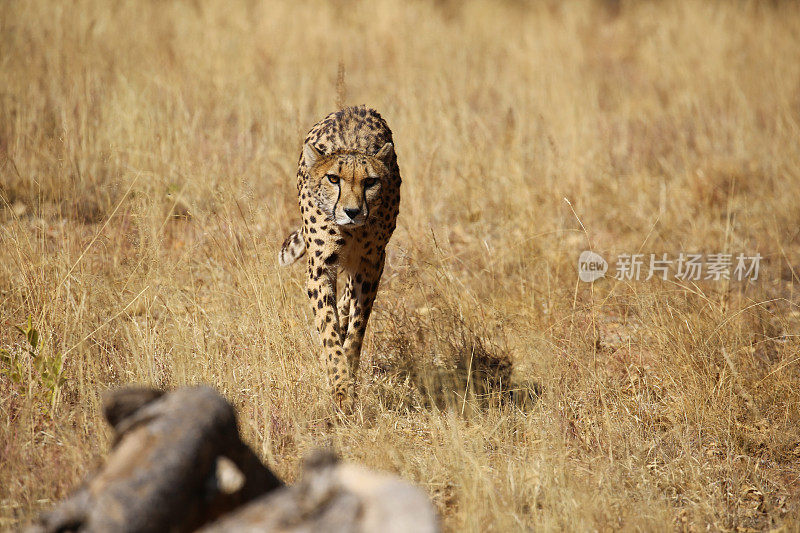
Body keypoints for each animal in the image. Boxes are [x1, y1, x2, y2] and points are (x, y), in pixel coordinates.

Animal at [282, 106, 404, 410]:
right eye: (333, 179)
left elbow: (356, 329)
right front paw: (340, 387)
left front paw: (348, 374)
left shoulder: (372, 263)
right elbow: (327, 328)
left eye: (370, 181)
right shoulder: (320, 266)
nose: (352, 211)